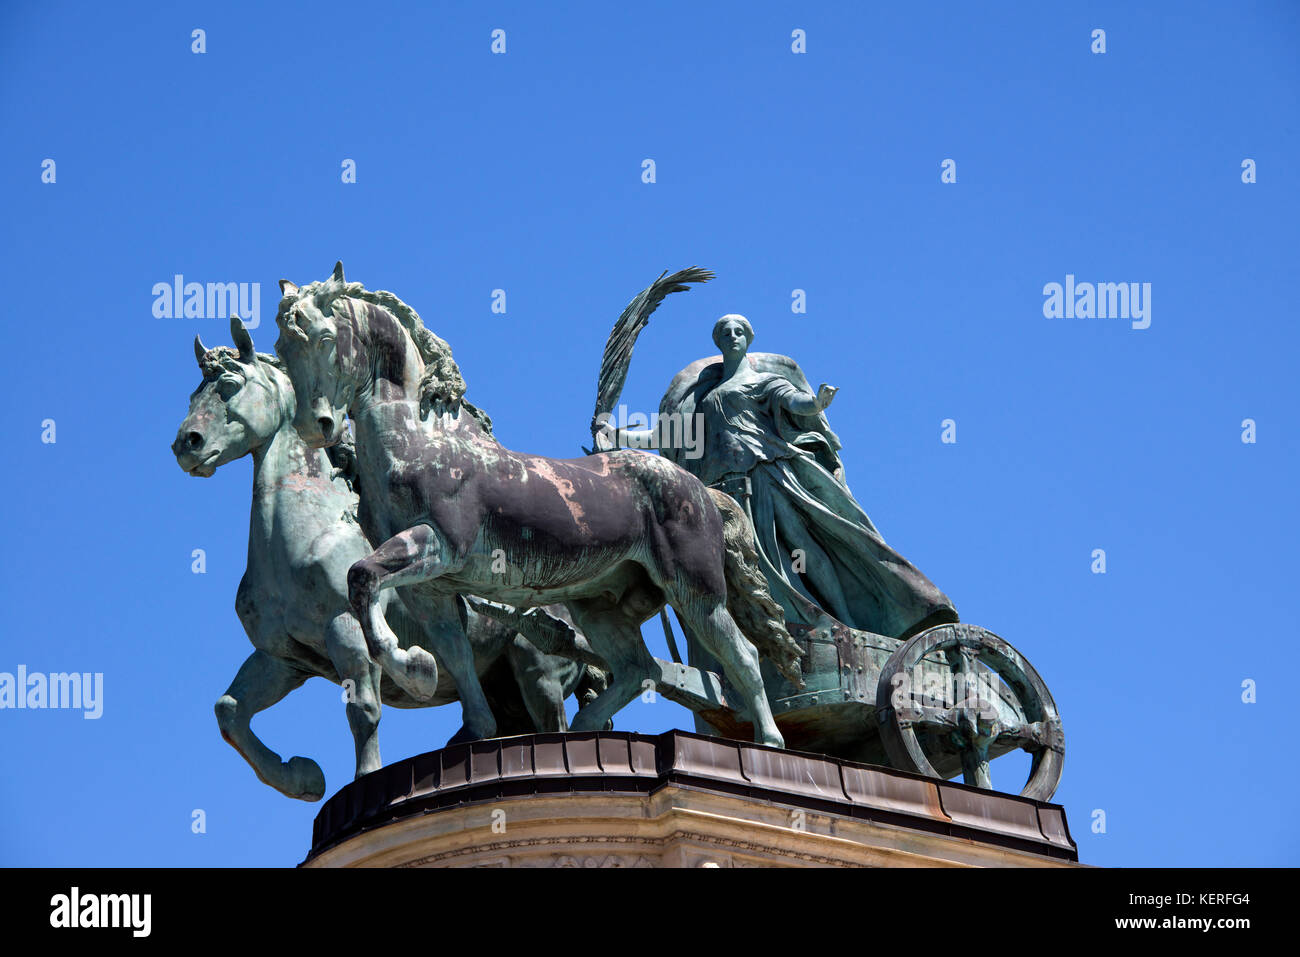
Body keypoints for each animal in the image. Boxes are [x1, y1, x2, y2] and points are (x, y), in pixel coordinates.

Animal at [274, 263, 800, 748]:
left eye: (325, 337)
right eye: (282, 348)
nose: (315, 426)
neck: (424, 440)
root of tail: (704, 491)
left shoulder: (439, 546)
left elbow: (361, 576)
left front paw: (416, 669)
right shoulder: (432, 587)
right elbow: (453, 653)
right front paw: (463, 713)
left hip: (694, 588)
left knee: (741, 655)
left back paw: (768, 743)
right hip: (597, 604)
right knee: (639, 668)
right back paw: (583, 732)